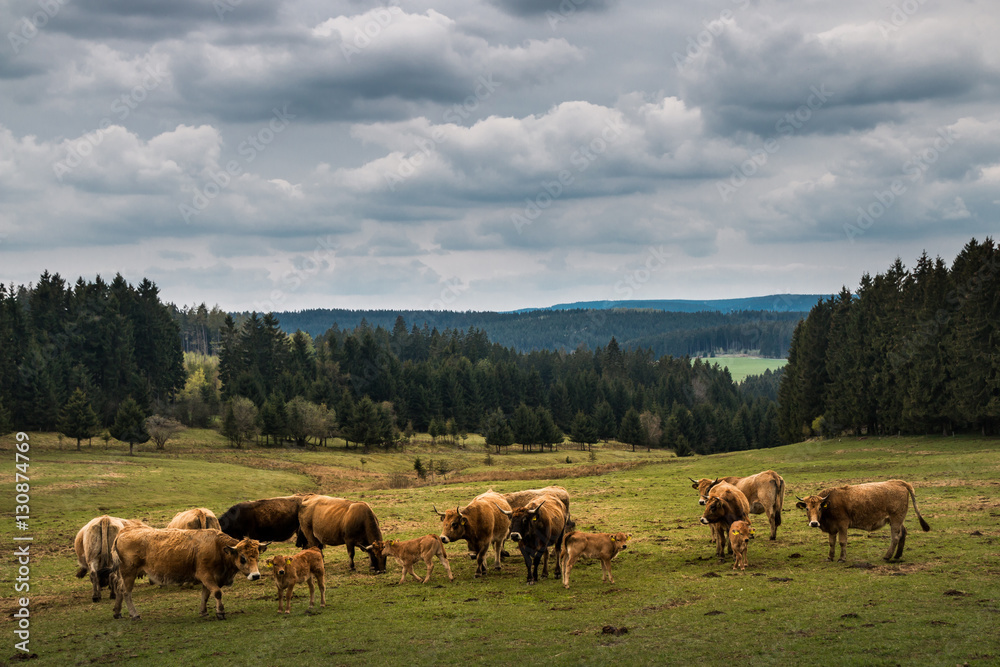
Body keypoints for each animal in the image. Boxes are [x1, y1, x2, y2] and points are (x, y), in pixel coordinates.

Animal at [109, 528, 268, 620]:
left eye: (257, 557)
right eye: (243, 558)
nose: (255, 575)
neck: (217, 546)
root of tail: (123, 532)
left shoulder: (211, 578)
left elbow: (206, 594)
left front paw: (204, 612)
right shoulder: (205, 575)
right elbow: (217, 592)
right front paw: (220, 612)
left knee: (119, 589)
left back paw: (117, 612)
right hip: (128, 573)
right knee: (126, 592)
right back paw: (134, 614)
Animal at [792, 480, 932, 564]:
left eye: (820, 508)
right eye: (807, 508)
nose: (814, 523)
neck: (830, 503)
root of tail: (899, 482)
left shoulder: (843, 525)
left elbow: (842, 542)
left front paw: (842, 558)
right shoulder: (832, 528)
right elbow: (831, 543)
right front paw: (830, 557)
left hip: (896, 519)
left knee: (896, 537)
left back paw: (887, 556)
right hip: (897, 520)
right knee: (903, 533)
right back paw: (897, 555)